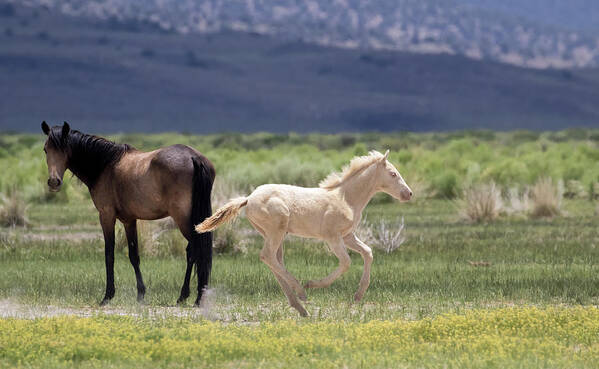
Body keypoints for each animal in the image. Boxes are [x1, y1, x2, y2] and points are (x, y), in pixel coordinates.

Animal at [40, 121, 213, 304]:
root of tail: (194, 157)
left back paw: (189, 296)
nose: (54, 182)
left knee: (194, 250)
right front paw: (141, 294)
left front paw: (107, 296)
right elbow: (133, 255)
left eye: (64, 149)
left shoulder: (106, 215)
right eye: (46, 149)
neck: (106, 165)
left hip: (183, 219)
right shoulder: (129, 220)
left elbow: (109, 254)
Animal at [197, 148, 412, 314]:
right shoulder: (332, 237)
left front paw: (358, 296)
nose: (409, 194)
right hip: (276, 230)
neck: (346, 198)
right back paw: (301, 291)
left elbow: (368, 252)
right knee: (267, 256)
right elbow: (346, 263)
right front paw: (312, 284)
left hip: (272, 233)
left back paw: (300, 307)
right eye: (393, 173)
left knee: (274, 261)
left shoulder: (348, 236)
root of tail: (248, 198)